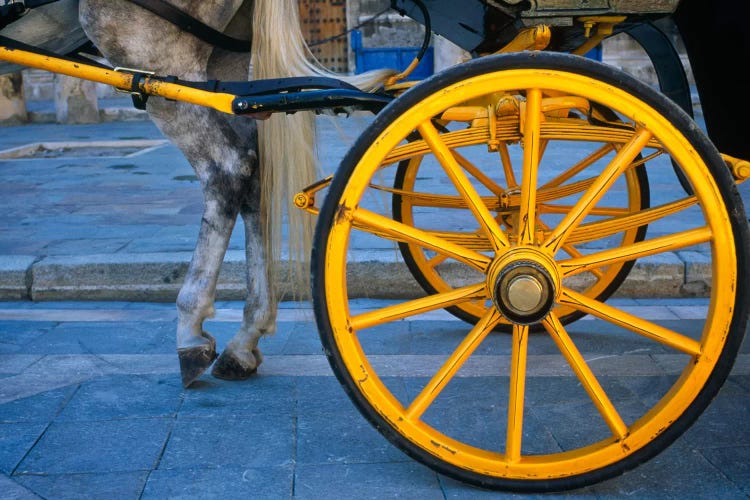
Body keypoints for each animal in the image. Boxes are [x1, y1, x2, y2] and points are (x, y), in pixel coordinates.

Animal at [0, 0, 396, 386]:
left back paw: (190, 328)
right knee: (253, 176)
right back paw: (245, 339)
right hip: (227, 56)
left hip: (152, 54)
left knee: (227, 167)